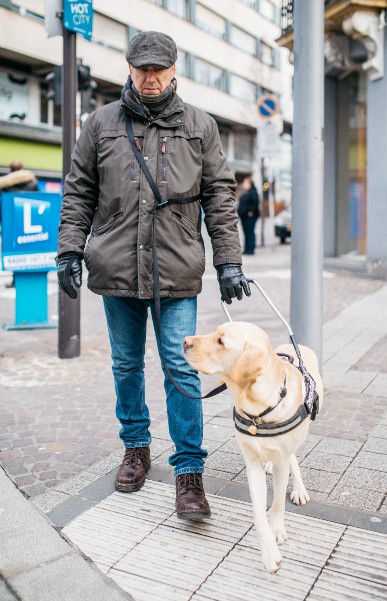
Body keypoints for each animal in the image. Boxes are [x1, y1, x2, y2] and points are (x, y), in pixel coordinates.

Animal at [183, 322, 322, 576]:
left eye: (221, 341)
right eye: (214, 333)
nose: (185, 341)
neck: (258, 408)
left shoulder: (281, 460)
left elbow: (277, 501)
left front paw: (276, 529)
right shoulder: (252, 464)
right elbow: (258, 513)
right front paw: (268, 553)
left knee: (293, 458)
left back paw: (299, 489)